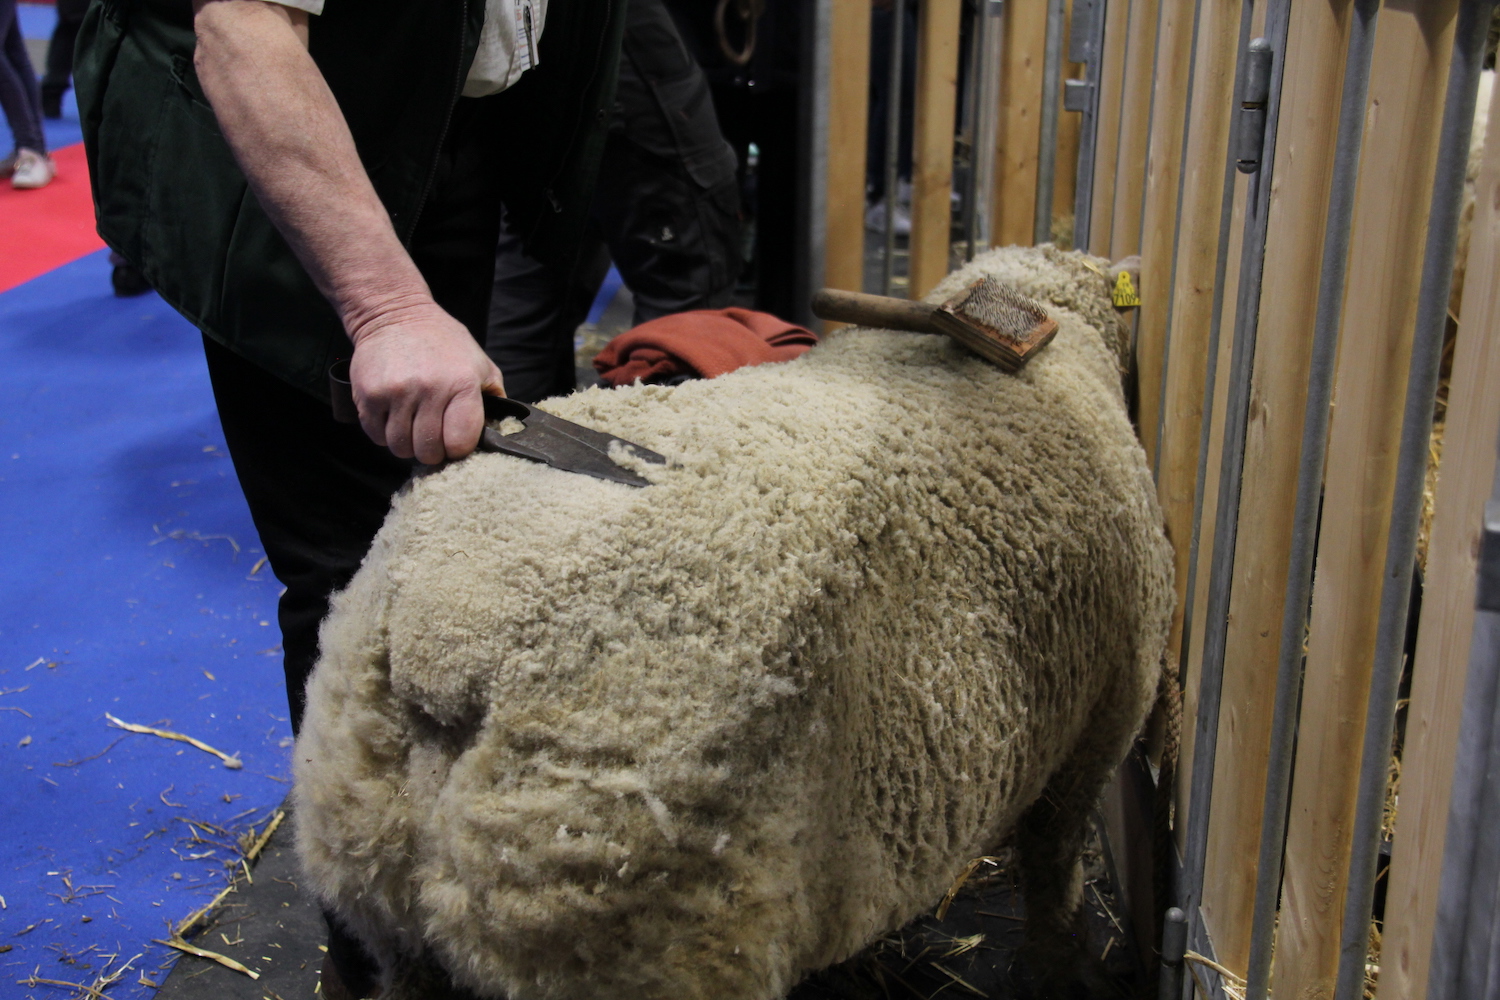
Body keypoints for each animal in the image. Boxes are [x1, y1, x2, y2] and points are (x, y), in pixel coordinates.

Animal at [292, 242, 1176, 1000]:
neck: (1050, 342)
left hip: (377, 882)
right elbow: (1055, 877)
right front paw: (1067, 974)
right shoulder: (1100, 721)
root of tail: (448, 646)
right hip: (637, 922)